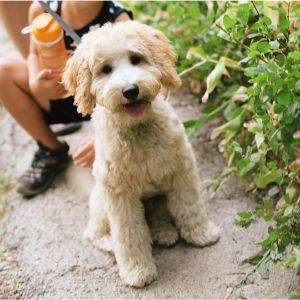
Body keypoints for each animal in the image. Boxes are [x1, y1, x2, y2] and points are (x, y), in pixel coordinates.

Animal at [62, 20, 220, 288]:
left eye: (136, 59)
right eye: (105, 69)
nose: (130, 90)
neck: (138, 129)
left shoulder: (182, 171)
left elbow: (190, 207)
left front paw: (202, 234)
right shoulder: (119, 194)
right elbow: (129, 234)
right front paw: (137, 271)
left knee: (157, 218)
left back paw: (163, 232)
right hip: (101, 203)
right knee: (94, 233)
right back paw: (110, 243)